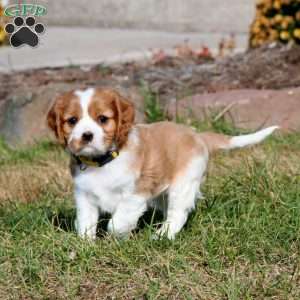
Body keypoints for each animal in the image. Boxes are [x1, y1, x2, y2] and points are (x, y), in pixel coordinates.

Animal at [47, 86, 278, 239]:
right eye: (72, 121)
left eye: (103, 119)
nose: (86, 135)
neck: (104, 162)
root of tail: (197, 134)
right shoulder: (84, 196)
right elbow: (85, 222)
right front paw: (86, 244)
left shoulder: (136, 193)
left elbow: (117, 222)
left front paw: (117, 237)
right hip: (163, 192)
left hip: (183, 184)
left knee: (178, 213)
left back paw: (162, 235)